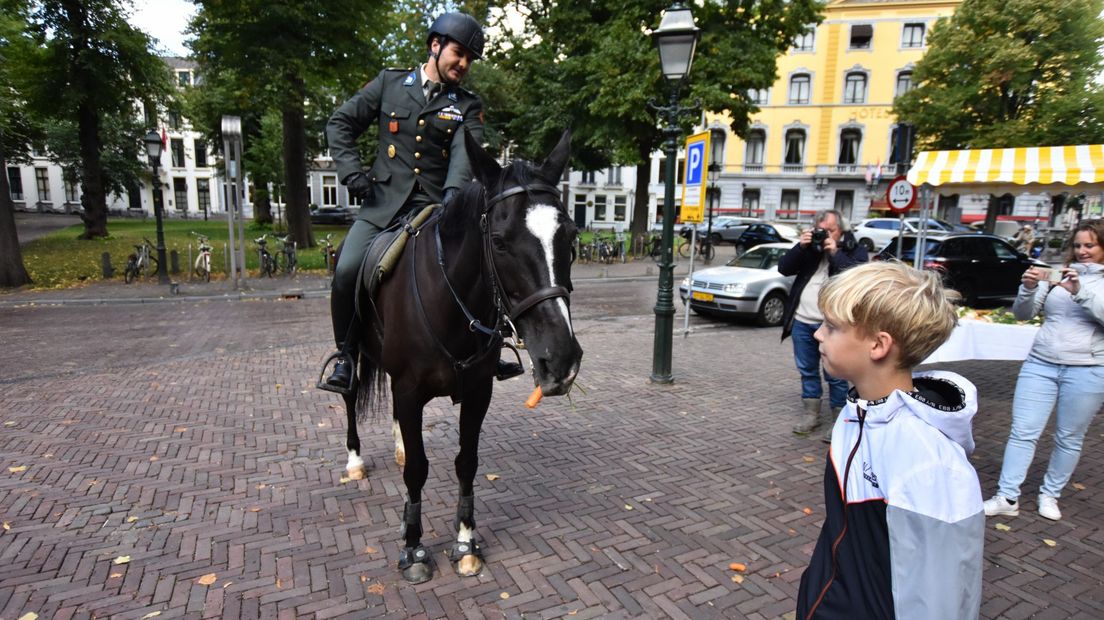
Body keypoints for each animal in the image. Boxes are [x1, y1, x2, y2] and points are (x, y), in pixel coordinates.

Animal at [342, 129, 587, 578]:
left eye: (571, 237)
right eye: (499, 243)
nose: (561, 359)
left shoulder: (476, 393)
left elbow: (466, 462)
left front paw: (465, 541)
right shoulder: (409, 391)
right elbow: (417, 470)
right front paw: (414, 548)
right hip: (352, 353)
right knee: (349, 396)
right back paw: (354, 461)